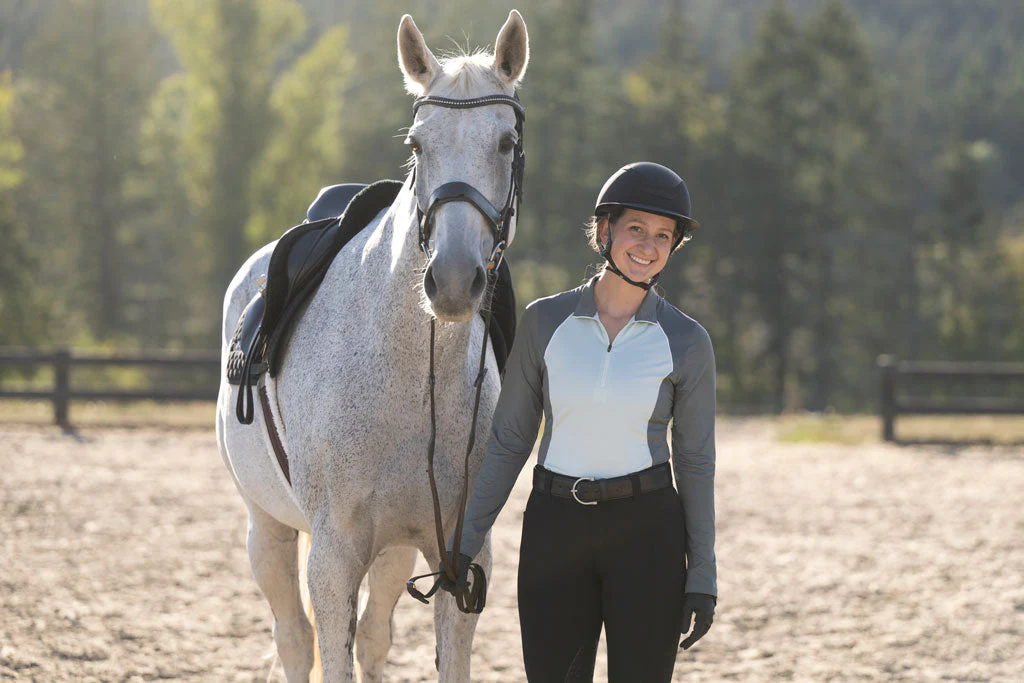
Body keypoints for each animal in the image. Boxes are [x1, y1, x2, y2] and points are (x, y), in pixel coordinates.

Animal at [215, 10, 530, 683]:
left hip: (393, 551)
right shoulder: (333, 558)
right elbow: (325, 644)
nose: (453, 280)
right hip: (268, 531)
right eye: (417, 145)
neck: (409, 374)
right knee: (293, 638)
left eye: (504, 144)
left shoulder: (460, 554)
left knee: (374, 639)